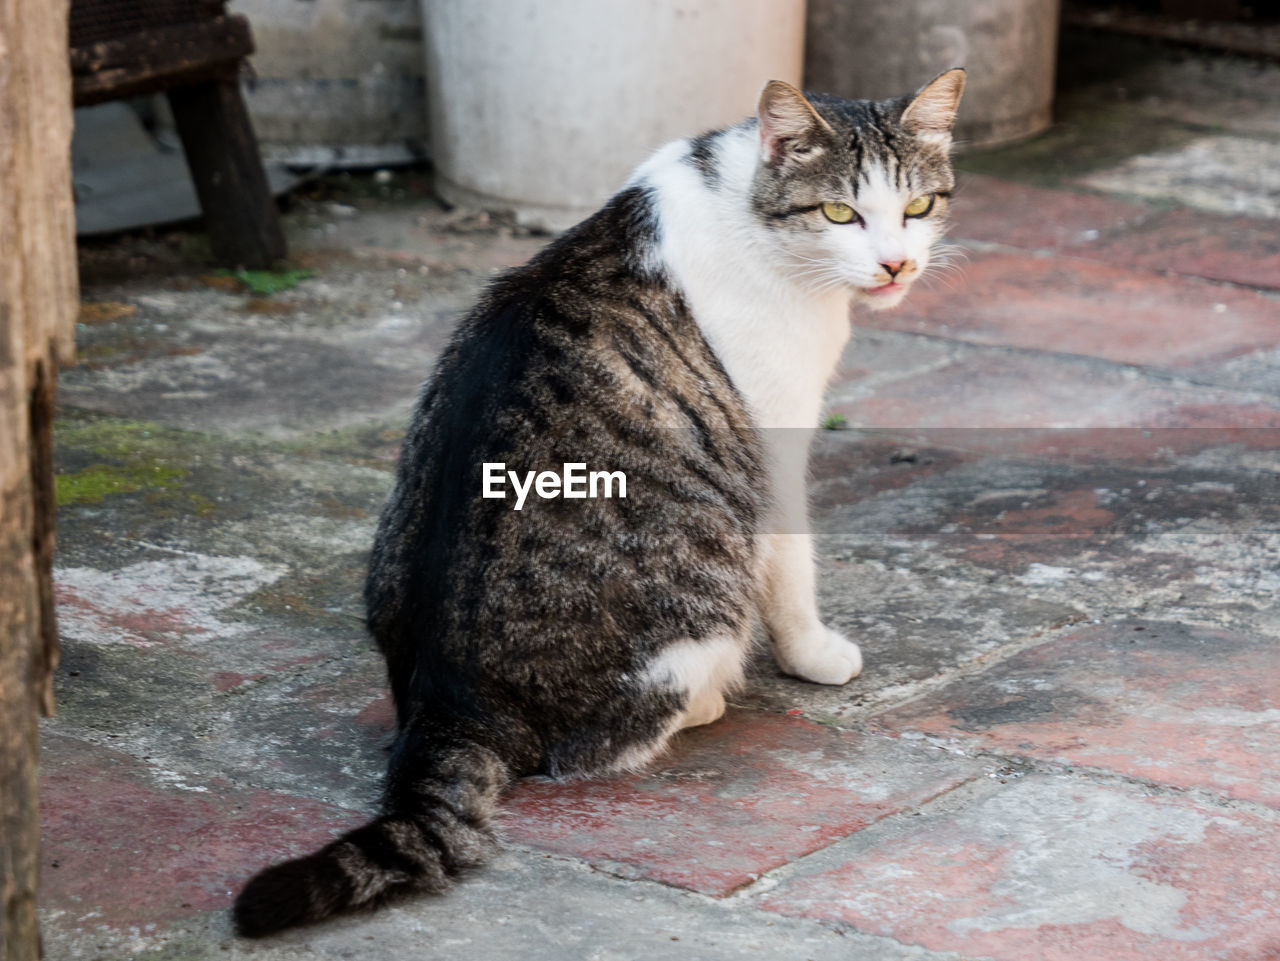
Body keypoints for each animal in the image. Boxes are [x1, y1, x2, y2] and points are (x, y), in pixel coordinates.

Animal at [235, 69, 962, 941]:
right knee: (601, 743)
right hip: (699, 589)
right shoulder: (775, 445)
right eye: (839, 213)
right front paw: (815, 654)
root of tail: (452, 699)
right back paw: (707, 700)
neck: (746, 203)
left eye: (917, 206)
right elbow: (793, 569)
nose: (896, 264)